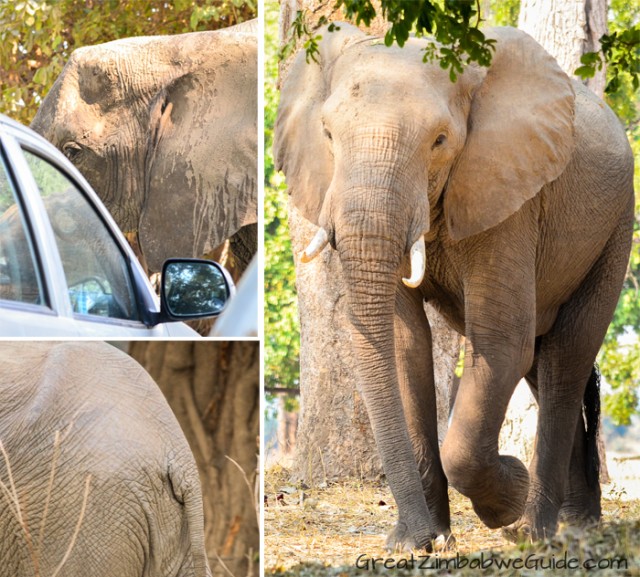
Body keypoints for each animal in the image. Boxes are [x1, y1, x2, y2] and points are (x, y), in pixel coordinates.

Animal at [276, 24, 636, 548]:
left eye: (440, 141)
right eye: (326, 135)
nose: (419, 537)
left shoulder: (508, 195)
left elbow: (501, 342)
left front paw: (505, 500)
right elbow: (405, 345)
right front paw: (419, 542)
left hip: (616, 227)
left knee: (566, 357)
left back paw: (535, 532)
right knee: (545, 363)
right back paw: (577, 524)